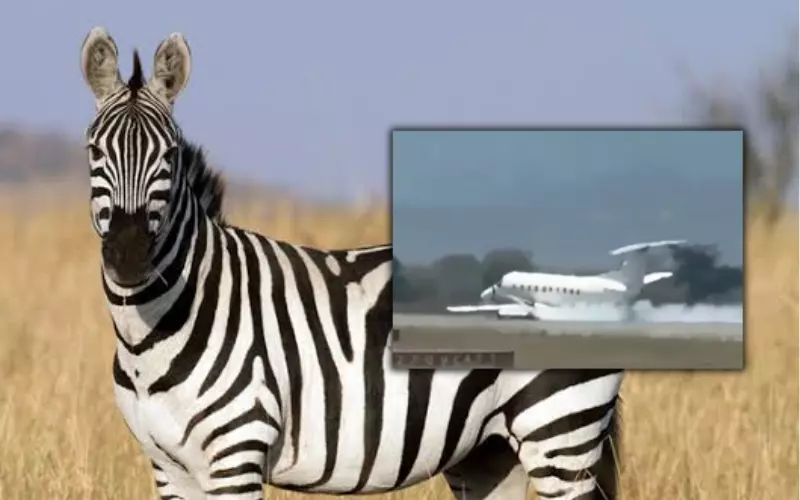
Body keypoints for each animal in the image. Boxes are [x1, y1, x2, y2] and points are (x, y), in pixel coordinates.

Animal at [79, 26, 624, 500]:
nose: (129, 256)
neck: (152, 336)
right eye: (93, 151)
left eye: (169, 154)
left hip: (559, 432)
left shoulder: (236, 454)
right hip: (489, 449)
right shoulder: (167, 466)